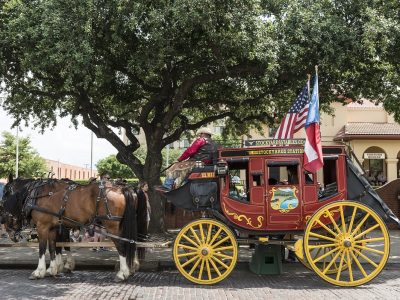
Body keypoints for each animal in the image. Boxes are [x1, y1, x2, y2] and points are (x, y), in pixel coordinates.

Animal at [0, 175, 142, 282]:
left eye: (5, 192)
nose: (11, 235)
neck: (37, 194)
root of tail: (121, 188)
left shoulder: (42, 226)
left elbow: (43, 248)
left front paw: (39, 271)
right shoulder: (53, 227)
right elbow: (53, 247)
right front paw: (52, 269)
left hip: (112, 226)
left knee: (122, 245)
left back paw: (122, 273)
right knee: (130, 242)